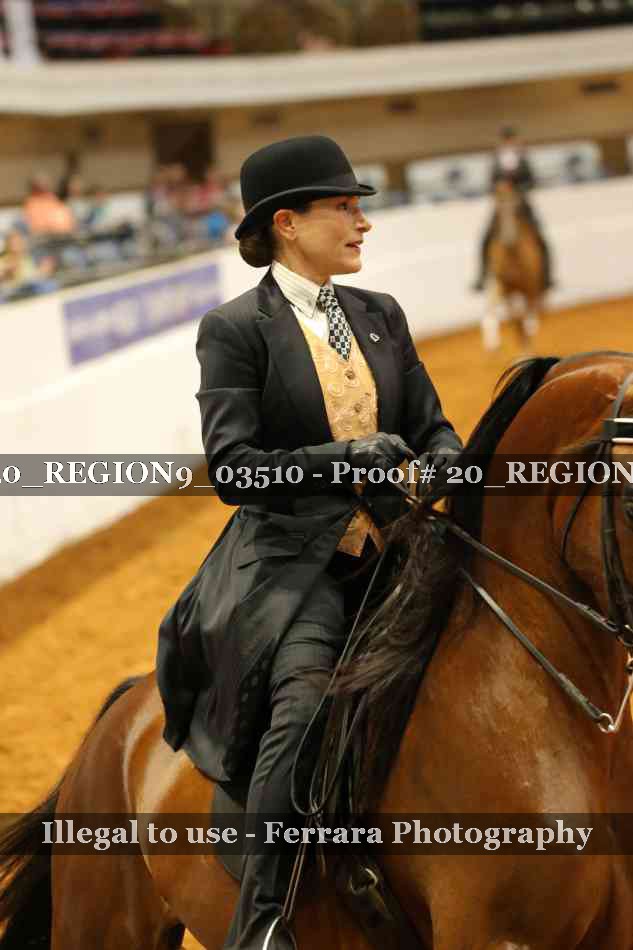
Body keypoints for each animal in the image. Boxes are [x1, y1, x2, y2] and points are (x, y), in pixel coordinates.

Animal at [481, 178, 546, 352]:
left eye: (515, 207)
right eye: (498, 208)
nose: (508, 238)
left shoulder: (531, 285)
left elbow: (528, 313)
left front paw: (528, 344)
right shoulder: (507, 289)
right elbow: (516, 319)